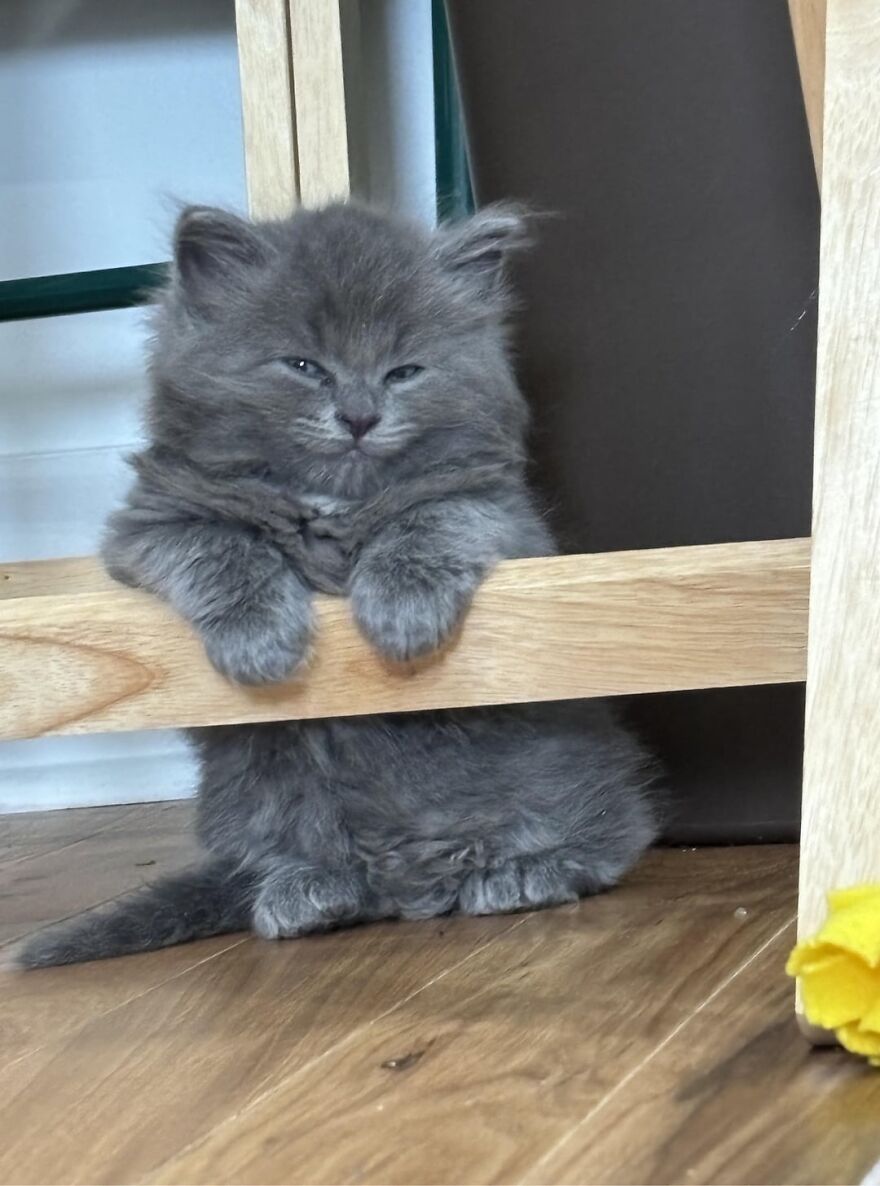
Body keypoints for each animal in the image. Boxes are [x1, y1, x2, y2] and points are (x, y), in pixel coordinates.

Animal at [15, 201, 664, 963]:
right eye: (304, 367)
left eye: (404, 372)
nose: (359, 416)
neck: (330, 504)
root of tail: (408, 889)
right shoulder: (151, 526)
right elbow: (225, 547)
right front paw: (261, 641)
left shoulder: (503, 515)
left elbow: (426, 520)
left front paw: (402, 614)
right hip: (249, 796)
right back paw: (309, 893)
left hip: (564, 775)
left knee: (613, 836)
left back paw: (522, 872)